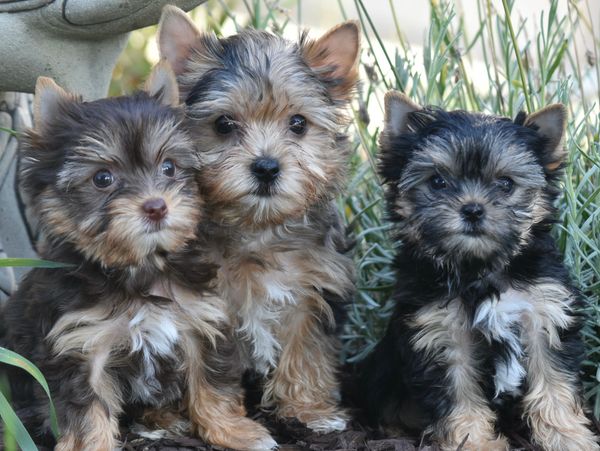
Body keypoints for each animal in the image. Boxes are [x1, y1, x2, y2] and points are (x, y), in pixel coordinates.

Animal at [0, 63, 276, 451]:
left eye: (169, 168)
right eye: (103, 178)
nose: (156, 206)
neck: (140, 267)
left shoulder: (200, 321)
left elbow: (211, 380)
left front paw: (234, 430)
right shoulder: (80, 346)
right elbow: (87, 412)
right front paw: (89, 445)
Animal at [157, 4, 358, 434]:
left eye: (298, 123)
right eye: (223, 124)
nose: (266, 167)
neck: (256, 227)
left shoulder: (312, 291)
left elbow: (307, 350)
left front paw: (308, 410)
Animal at [358, 92, 596, 451]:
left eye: (506, 183)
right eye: (438, 181)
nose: (472, 209)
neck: (479, 269)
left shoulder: (543, 313)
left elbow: (554, 384)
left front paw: (569, 438)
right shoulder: (443, 335)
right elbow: (460, 397)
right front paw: (474, 443)